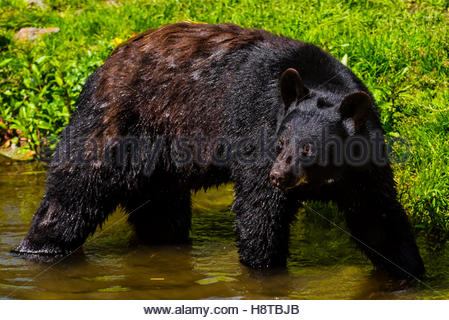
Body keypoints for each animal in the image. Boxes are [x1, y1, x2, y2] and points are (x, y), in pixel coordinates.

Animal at [14, 21, 424, 278]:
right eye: (280, 141)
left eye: (310, 148)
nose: (281, 175)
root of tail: (105, 63)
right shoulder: (257, 129)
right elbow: (259, 211)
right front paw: (266, 271)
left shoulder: (364, 164)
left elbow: (378, 218)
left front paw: (412, 274)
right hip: (118, 124)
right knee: (75, 190)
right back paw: (39, 247)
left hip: (162, 160)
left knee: (161, 211)